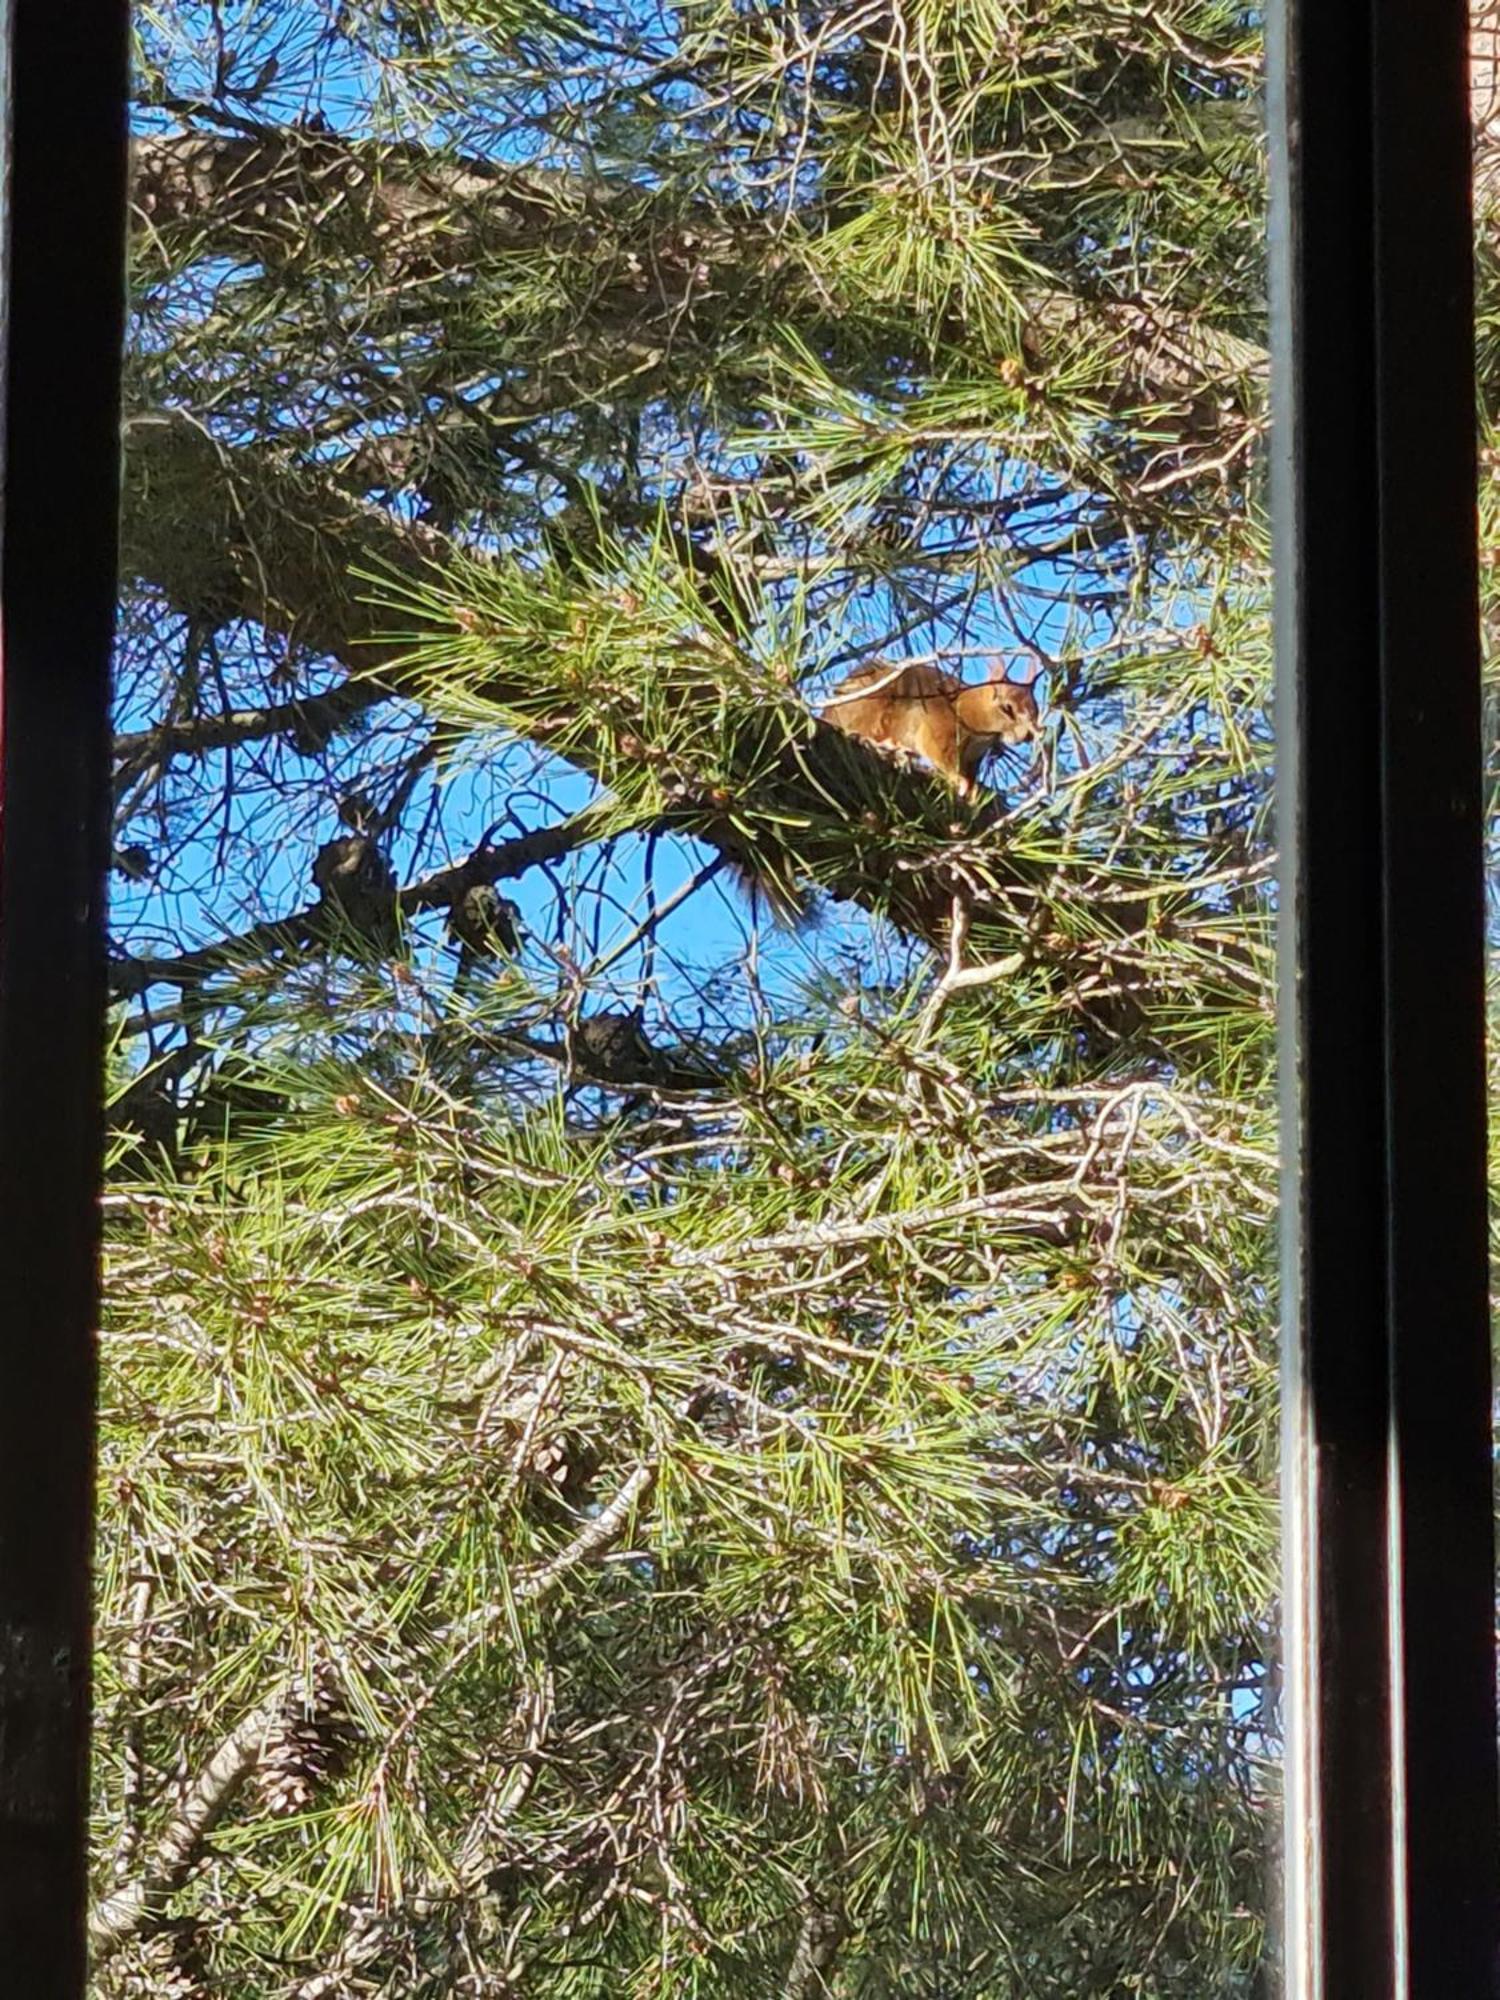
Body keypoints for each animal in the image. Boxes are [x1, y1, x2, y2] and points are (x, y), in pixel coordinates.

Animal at [824, 656, 1048, 796]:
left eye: (1036, 708)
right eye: (1007, 708)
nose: (1028, 736)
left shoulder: (974, 757)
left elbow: (971, 771)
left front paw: (975, 787)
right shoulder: (939, 728)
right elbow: (943, 757)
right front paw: (960, 781)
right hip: (869, 710)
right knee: (856, 731)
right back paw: (889, 746)